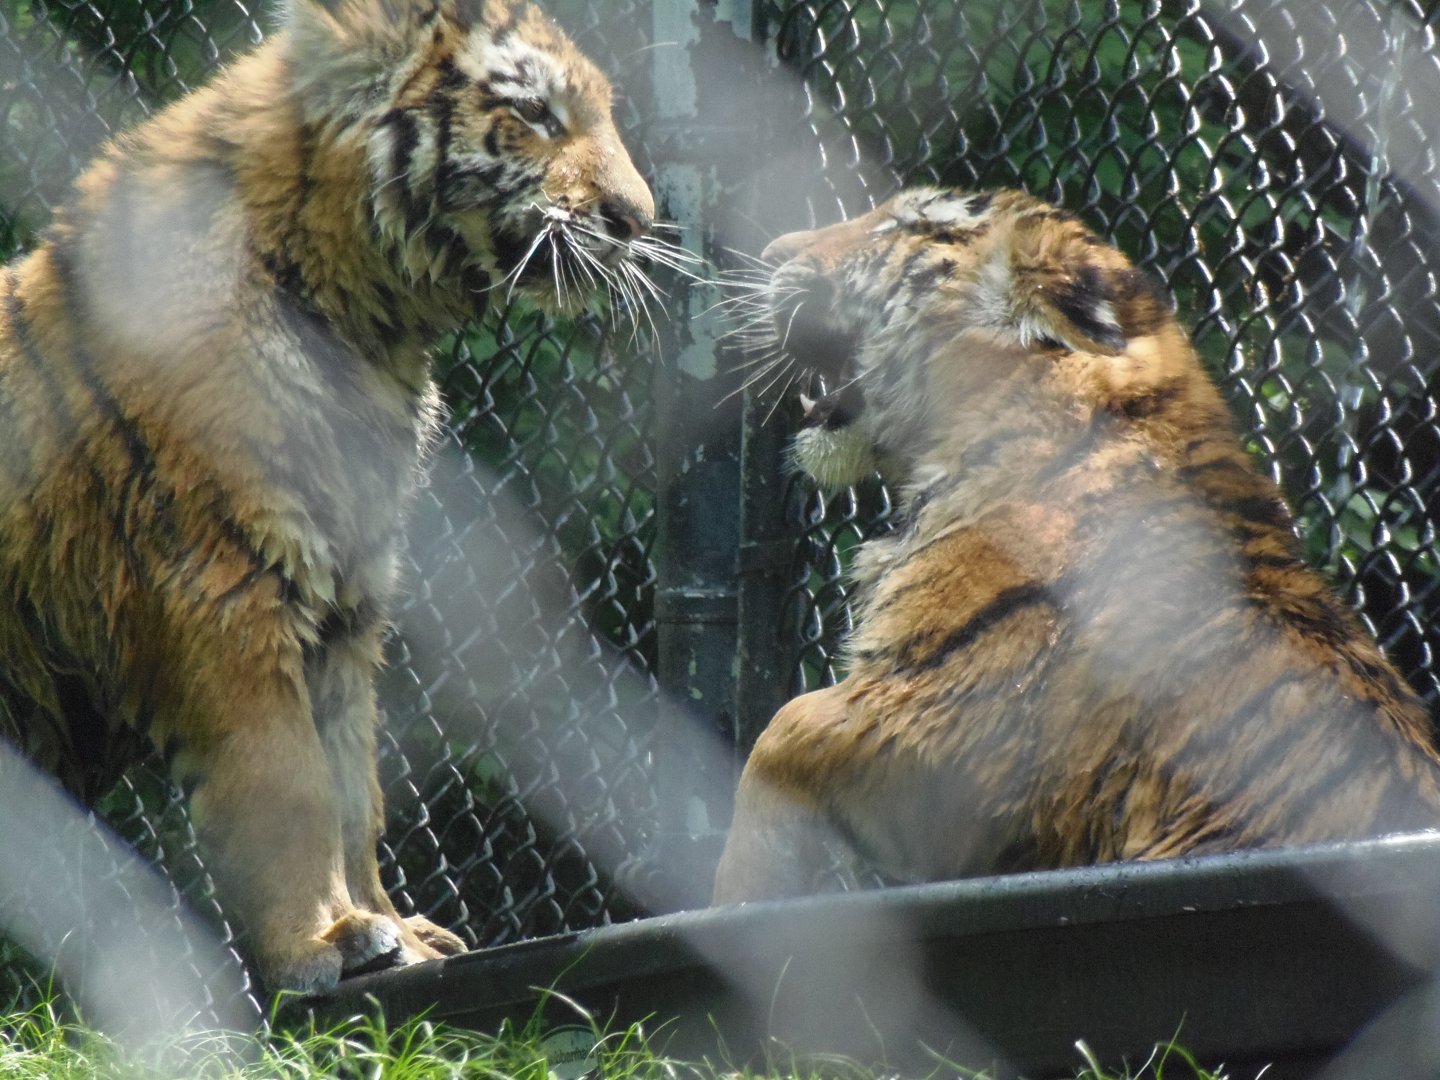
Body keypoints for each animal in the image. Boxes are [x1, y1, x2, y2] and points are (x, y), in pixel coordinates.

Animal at [0, 0, 656, 993]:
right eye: (536, 114)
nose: (639, 219)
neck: (375, 334)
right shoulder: (224, 585)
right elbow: (291, 784)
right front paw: (324, 943)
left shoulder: (346, 603)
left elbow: (356, 793)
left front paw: (399, 933)